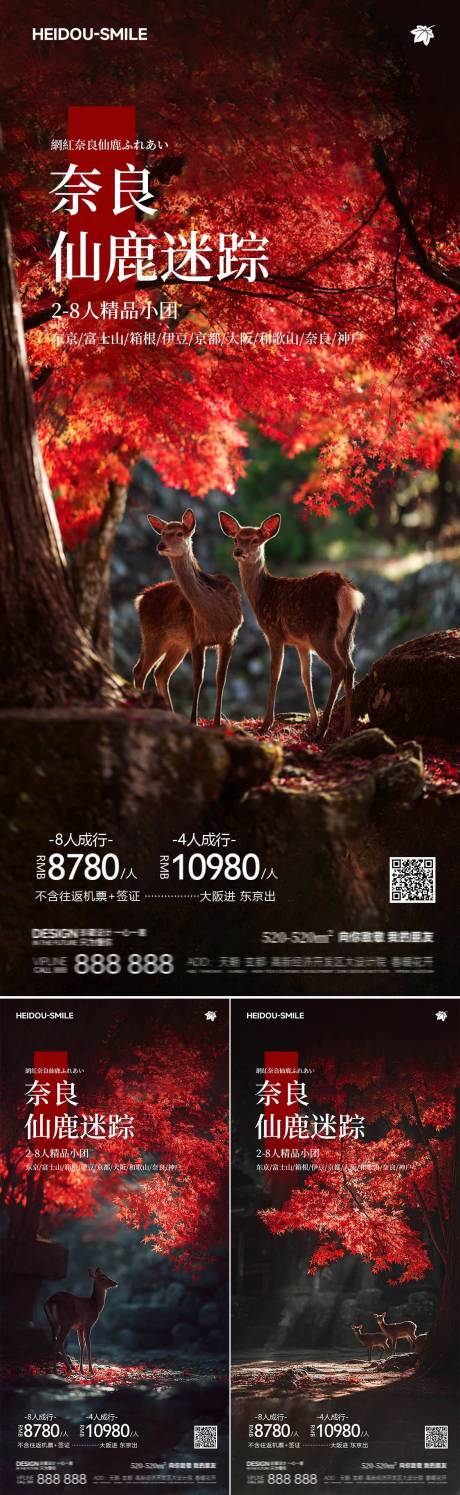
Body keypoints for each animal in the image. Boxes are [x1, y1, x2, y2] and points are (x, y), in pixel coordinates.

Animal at [133, 509, 243, 727]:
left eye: (179, 533)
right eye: (162, 533)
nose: (161, 545)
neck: (215, 615)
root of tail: (140, 599)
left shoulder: (230, 636)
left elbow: (221, 678)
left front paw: (217, 721)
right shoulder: (196, 639)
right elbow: (197, 679)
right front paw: (194, 720)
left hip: (176, 643)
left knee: (160, 672)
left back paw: (170, 713)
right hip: (153, 635)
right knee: (141, 671)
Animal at [219, 510, 364, 737]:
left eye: (255, 540)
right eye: (235, 538)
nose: (238, 551)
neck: (262, 594)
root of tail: (349, 592)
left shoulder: (274, 633)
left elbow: (274, 674)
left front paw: (266, 723)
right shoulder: (301, 642)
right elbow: (306, 677)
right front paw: (311, 721)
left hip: (322, 633)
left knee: (339, 668)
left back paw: (324, 729)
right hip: (347, 634)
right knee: (350, 667)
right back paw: (345, 727)